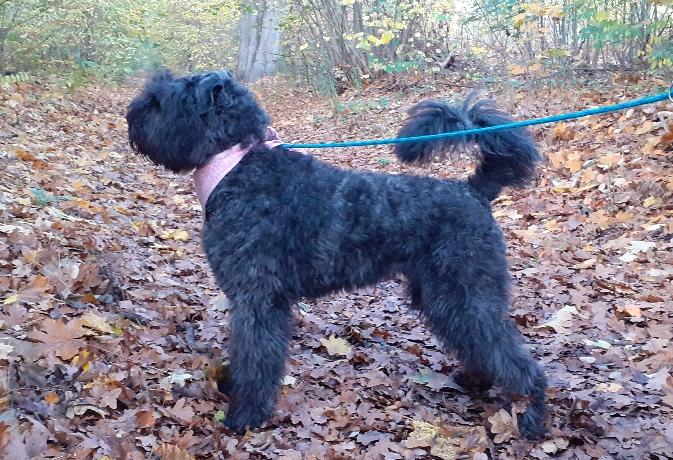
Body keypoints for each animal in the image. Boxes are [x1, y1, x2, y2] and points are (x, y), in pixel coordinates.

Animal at [124, 70, 544, 440]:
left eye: (168, 98)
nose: (132, 116)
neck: (239, 167)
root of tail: (475, 192)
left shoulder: (257, 299)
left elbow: (256, 357)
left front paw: (246, 414)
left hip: (463, 294)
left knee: (517, 359)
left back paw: (531, 415)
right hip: (447, 297)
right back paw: (478, 381)